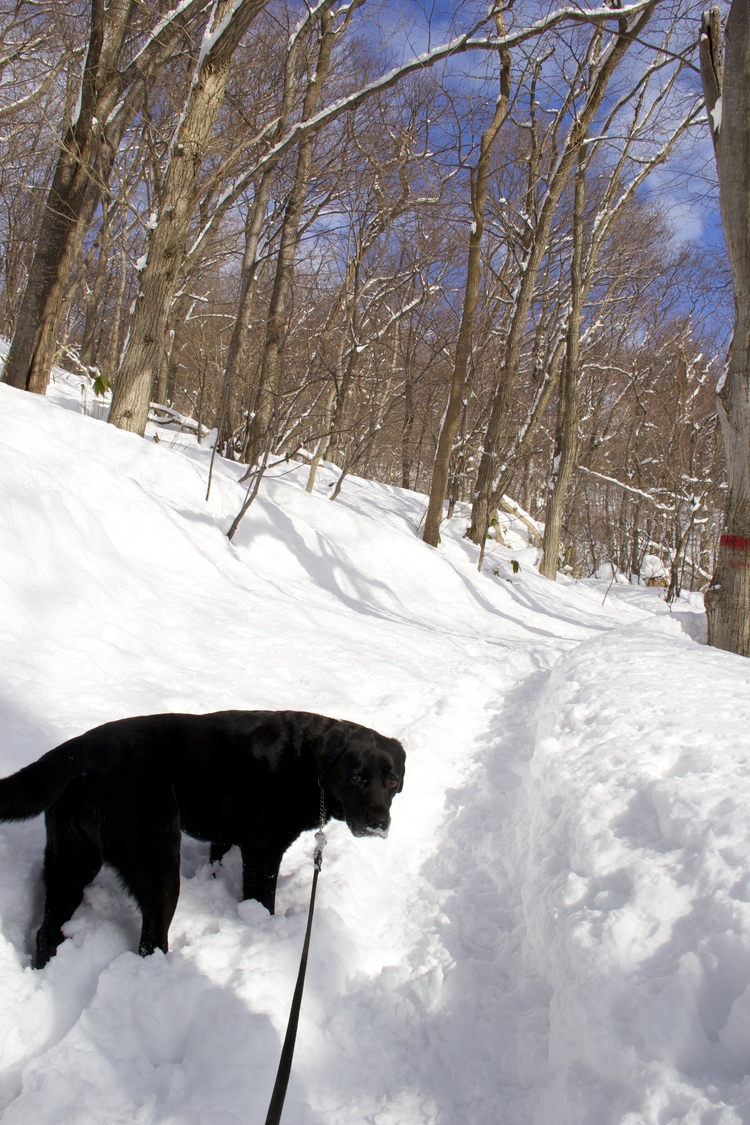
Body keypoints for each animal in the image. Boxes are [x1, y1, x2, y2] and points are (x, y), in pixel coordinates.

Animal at [0, 711, 404, 967]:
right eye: (357, 777)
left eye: (393, 781)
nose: (379, 824)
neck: (310, 764)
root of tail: (83, 747)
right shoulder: (264, 850)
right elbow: (262, 899)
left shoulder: (224, 839)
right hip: (158, 863)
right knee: (151, 939)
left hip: (71, 860)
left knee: (46, 931)